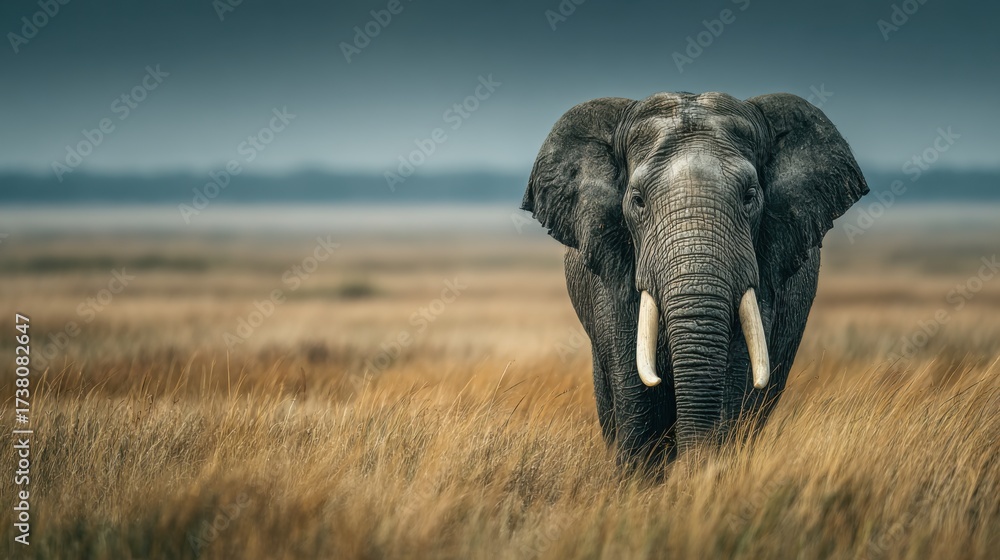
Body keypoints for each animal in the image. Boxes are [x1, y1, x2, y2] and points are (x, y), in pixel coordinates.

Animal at [522, 92, 868, 465]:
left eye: (749, 196)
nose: (694, 461)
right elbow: (636, 390)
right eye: (638, 201)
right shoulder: (612, 271)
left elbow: (736, 374)